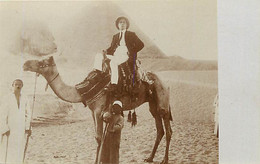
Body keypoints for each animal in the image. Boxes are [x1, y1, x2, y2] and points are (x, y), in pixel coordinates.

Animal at [22, 55, 173, 163]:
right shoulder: (92, 111)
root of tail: (165, 83)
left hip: (163, 101)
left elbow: (99, 138)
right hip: (153, 104)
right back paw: (150, 158)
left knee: (168, 129)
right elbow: (97, 137)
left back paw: (164, 160)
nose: (25, 64)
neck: (82, 90)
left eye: (42, 63)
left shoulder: (98, 110)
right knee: (160, 129)